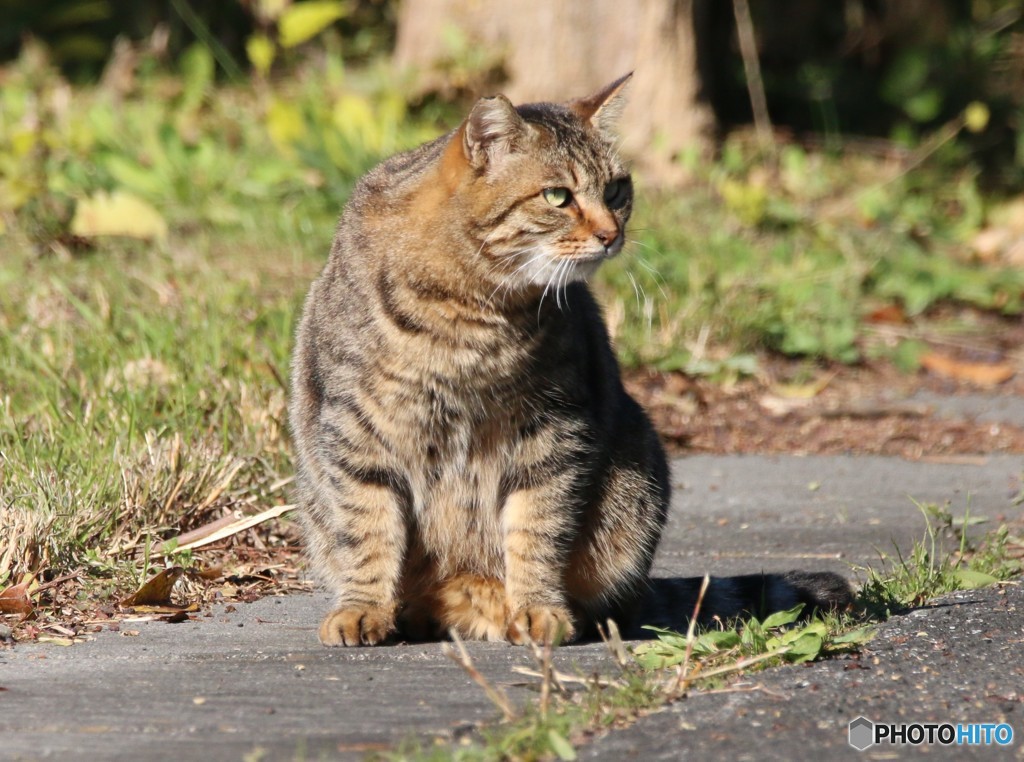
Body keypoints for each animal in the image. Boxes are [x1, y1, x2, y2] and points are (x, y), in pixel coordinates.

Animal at [288, 74, 847, 647]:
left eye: (616, 190)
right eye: (558, 196)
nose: (611, 234)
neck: (474, 311)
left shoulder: (552, 430)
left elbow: (536, 529)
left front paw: (538, 607)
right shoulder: (357, 428)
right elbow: (367, 530)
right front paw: (364, 607)